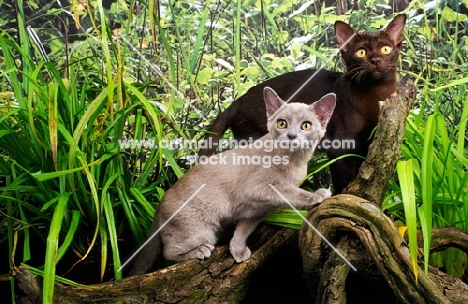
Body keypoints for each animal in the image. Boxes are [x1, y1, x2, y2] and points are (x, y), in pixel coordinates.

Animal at [128, 86, 336, 276]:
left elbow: (243, 230)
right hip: (201, 230)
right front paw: (317, 195)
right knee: (168, 251)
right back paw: (200, 250)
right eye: (282, 123)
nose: (291, 136)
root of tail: (159, 206)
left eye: (306, 125)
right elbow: (291, 193)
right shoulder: (259, 188)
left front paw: (238, 250)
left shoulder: (256, 210)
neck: (295, 161)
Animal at [197, 13, 406, 192]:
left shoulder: (367, 146)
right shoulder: (340, 148)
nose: (375, 60)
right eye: (361, 52)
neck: (375, 96)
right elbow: (344, 183)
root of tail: (237, 102)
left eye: (385, 49)